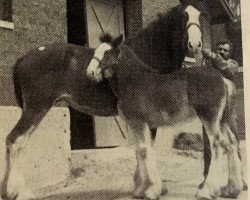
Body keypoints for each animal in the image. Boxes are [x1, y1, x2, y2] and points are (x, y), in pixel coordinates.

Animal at [0, 0, 205, 199]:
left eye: (201, 15)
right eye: (182, 17)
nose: (195, 45)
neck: (144, 58)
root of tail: (22, 58)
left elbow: (140, 148)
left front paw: (141, 186)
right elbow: (146, 148)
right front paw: (153, 188)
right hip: (36, 108)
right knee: (15, 140)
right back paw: (19, 192)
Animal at [93, 38, 243, 200]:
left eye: (107, 52)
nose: (91, 72)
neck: (133, 81)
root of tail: (222, 79)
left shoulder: (139, 123)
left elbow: (144, 151)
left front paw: (151, 191)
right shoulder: (142, 125)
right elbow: (140, 150)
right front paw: (141, 190)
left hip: (210, 118)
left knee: (217, 145)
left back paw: (207, 191)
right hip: (222, 120)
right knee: (231, 143)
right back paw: (232, 189)